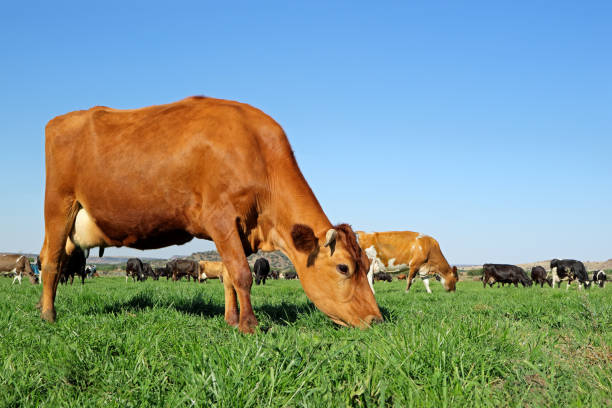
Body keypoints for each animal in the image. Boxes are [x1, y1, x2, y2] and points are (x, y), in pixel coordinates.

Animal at [35, 95, 380, 332]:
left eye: (366, 265)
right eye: (344, 268)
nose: (376, 319)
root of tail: (60, 120)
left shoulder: (237, 230)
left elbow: (228, 276)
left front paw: (231, 320)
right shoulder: (221, 219)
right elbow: (241, 274)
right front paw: (250, 326)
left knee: (49, 257)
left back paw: (40, 305)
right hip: (58, 205)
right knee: (51, 261)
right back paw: (49, 316)